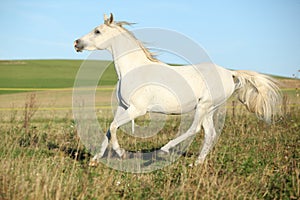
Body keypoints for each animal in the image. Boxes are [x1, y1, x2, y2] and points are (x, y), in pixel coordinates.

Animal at [74, 13, 282, 165]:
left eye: (97, 31)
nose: (77, 43)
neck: (134, 69)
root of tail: (230, 73)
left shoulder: (138, 110)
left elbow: (113, 127)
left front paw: (121, 153)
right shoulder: (123, 107)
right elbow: (110, 129)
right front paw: (94, 159)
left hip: (204, 106)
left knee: (194, 129)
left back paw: (165, 149)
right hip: (209, 109)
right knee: (210, 134)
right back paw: (196, 163)